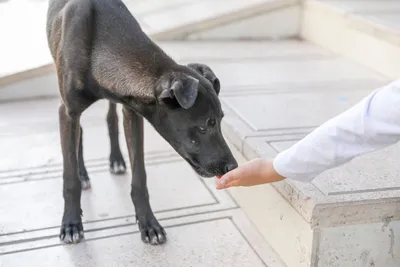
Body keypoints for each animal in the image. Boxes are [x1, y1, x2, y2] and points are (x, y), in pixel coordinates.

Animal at [46, 0, 238, 247]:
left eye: (221, 120)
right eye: (204, 126)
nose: (233, 167)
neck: (97, 47)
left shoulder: (132, 112)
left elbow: (140, 177)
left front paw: (149, 225)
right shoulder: (67, 112)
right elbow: (69, 178)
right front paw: (71, 224)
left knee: (110, 118)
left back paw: (116, 159)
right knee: (79, 131)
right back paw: (84, 174)